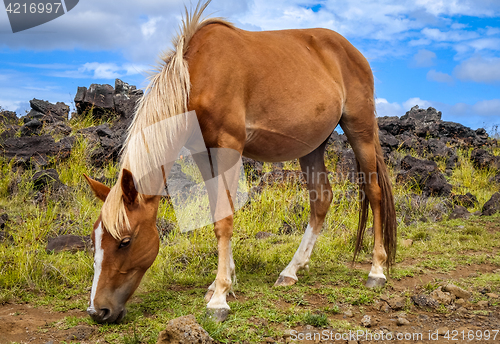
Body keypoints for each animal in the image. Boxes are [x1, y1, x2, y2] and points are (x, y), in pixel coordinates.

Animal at [83, 0, 394, 324]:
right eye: (95, 239)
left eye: (125, 241)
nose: (98, 310)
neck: (196, 77)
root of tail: (353, 53)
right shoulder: (203, 151)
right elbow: (216, 210)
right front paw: (222, 283)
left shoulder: (229, 146)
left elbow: (225, 218)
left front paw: (220, 298)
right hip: (312, 146)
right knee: (321, 200)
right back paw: (291, 270)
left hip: (360, 131)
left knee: (374, 194)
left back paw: (376, 271)